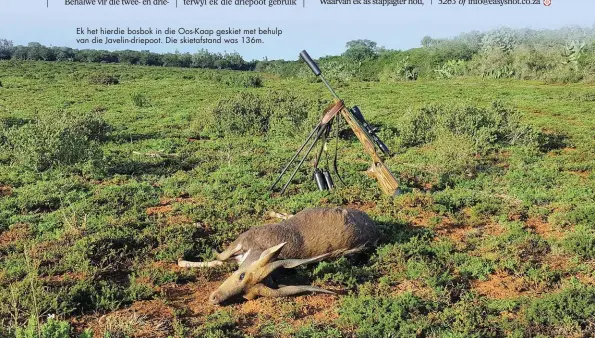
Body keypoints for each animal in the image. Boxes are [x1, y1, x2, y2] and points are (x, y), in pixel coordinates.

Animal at [179, 207, 380, 304]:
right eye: (241, 275)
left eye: (246, 296)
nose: (215, 299)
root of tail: (373, 226)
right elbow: (219, 259)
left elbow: (218, 259)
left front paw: (183, 259)